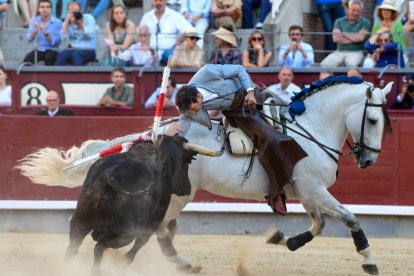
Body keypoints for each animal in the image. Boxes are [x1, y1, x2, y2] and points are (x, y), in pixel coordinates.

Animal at [65, 136, 198, 272]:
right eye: (187, 162)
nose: (188, 188)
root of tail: (109, 176)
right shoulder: (153, 223)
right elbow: (139, 244)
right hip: (126, 233)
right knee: (100, 245)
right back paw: (98, 270)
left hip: (80, 220)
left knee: (73, 246)